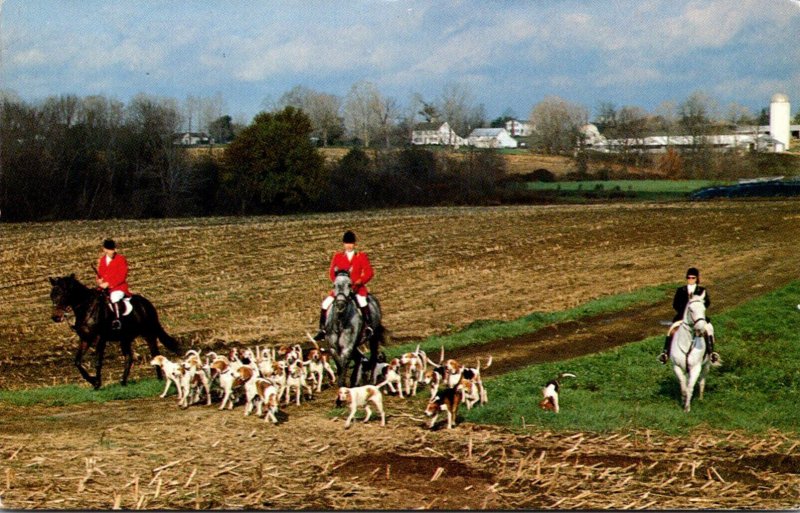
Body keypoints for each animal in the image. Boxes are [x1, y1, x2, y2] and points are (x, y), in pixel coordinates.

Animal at [50, 272, 181, 388]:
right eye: (52, 295)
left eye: (64, 293)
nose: (56, 317)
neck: (87, 308)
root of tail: (146, 304)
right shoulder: (85, 339)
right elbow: (77, 362)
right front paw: (93, 381)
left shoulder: (100, 339)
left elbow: (98, 361)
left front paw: (97, 383)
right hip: (125, 338)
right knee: (129, 358)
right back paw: (123, 382)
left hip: (148, 334)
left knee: (154, 353)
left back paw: (159, 379)